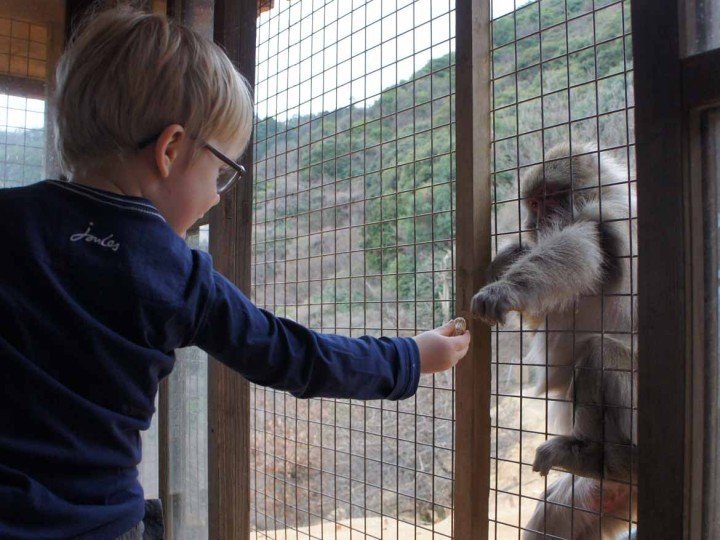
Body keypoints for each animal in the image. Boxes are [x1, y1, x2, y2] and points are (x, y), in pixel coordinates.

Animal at [472, 144, 636, 540]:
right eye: (533, 202)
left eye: (549, 197)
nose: (536, 219)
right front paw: (509, 257)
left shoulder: (607, 216)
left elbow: (582, 248)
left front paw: (505, 287)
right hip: (601, 500)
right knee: (554, 514)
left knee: (601, 351)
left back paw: (596, 456)